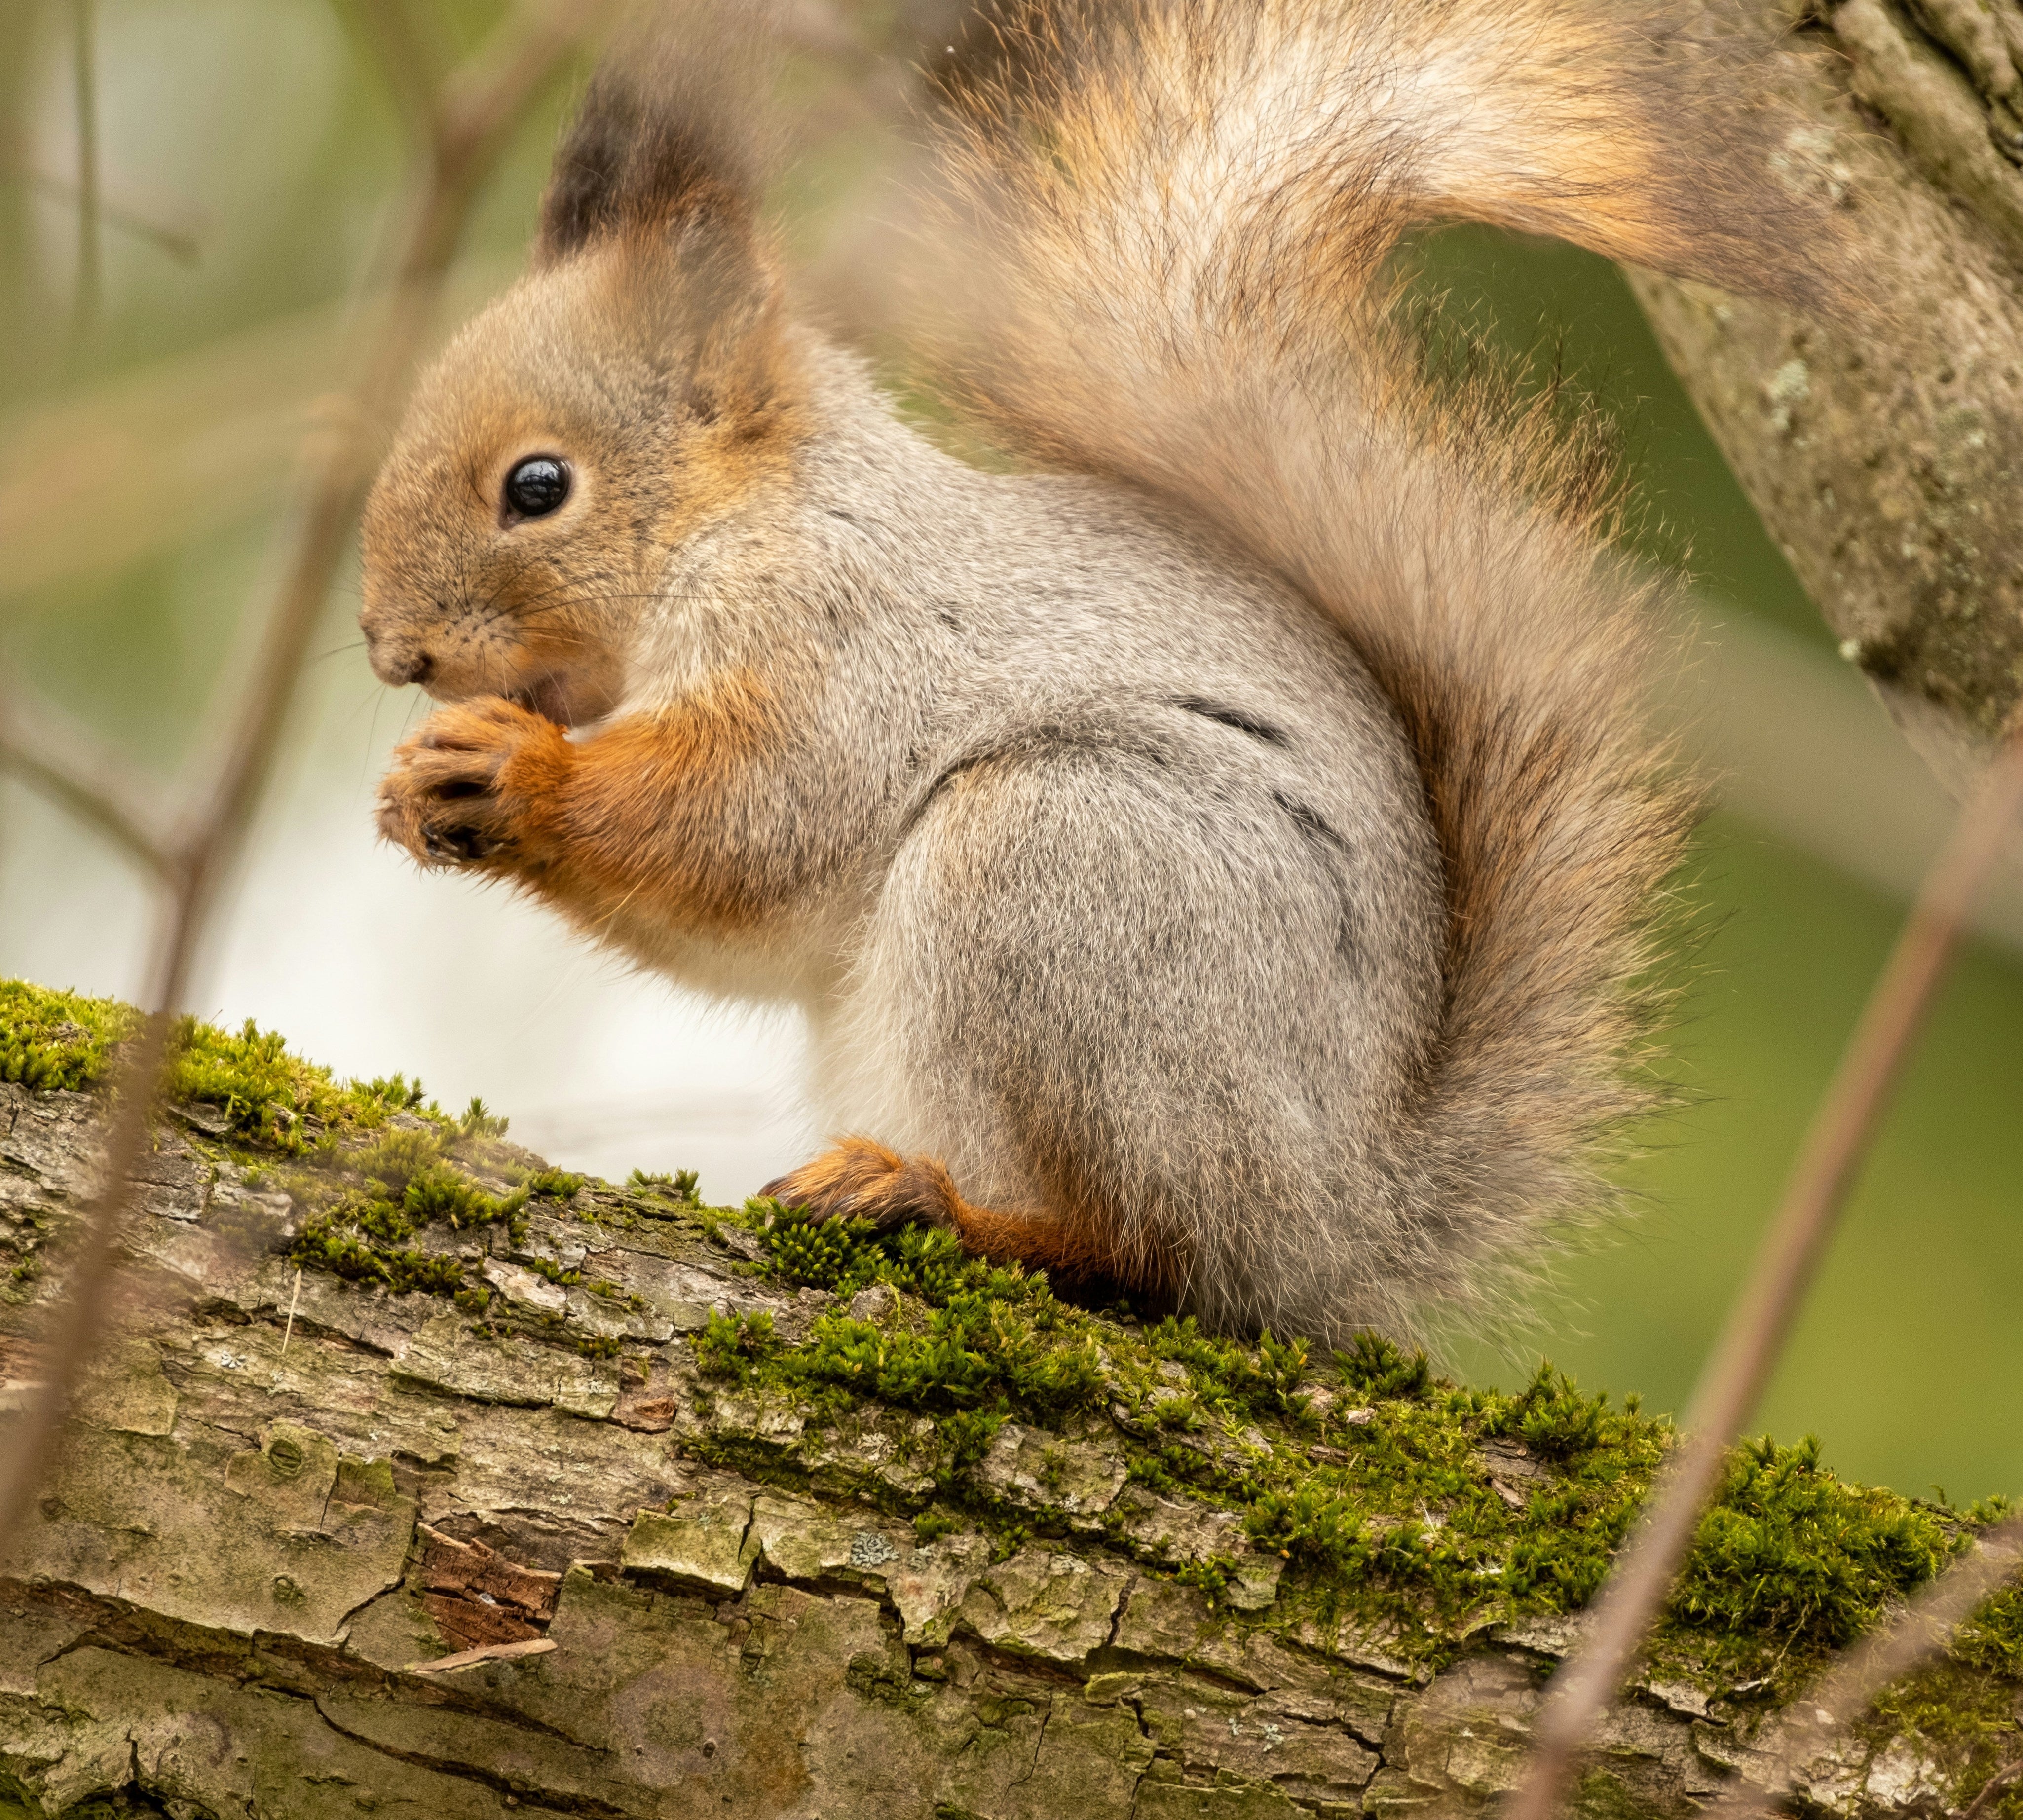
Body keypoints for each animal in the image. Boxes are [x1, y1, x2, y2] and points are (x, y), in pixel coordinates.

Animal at [360, 0, 1842, 1348]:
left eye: (537, 487)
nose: (392, 653)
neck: (737, 519)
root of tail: (1337, 1218)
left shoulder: (838, 641)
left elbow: (747, 824)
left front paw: (514, 770)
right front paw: (416, 789)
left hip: (1062, 873)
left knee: (1146, 1252)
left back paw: (940, 1205)